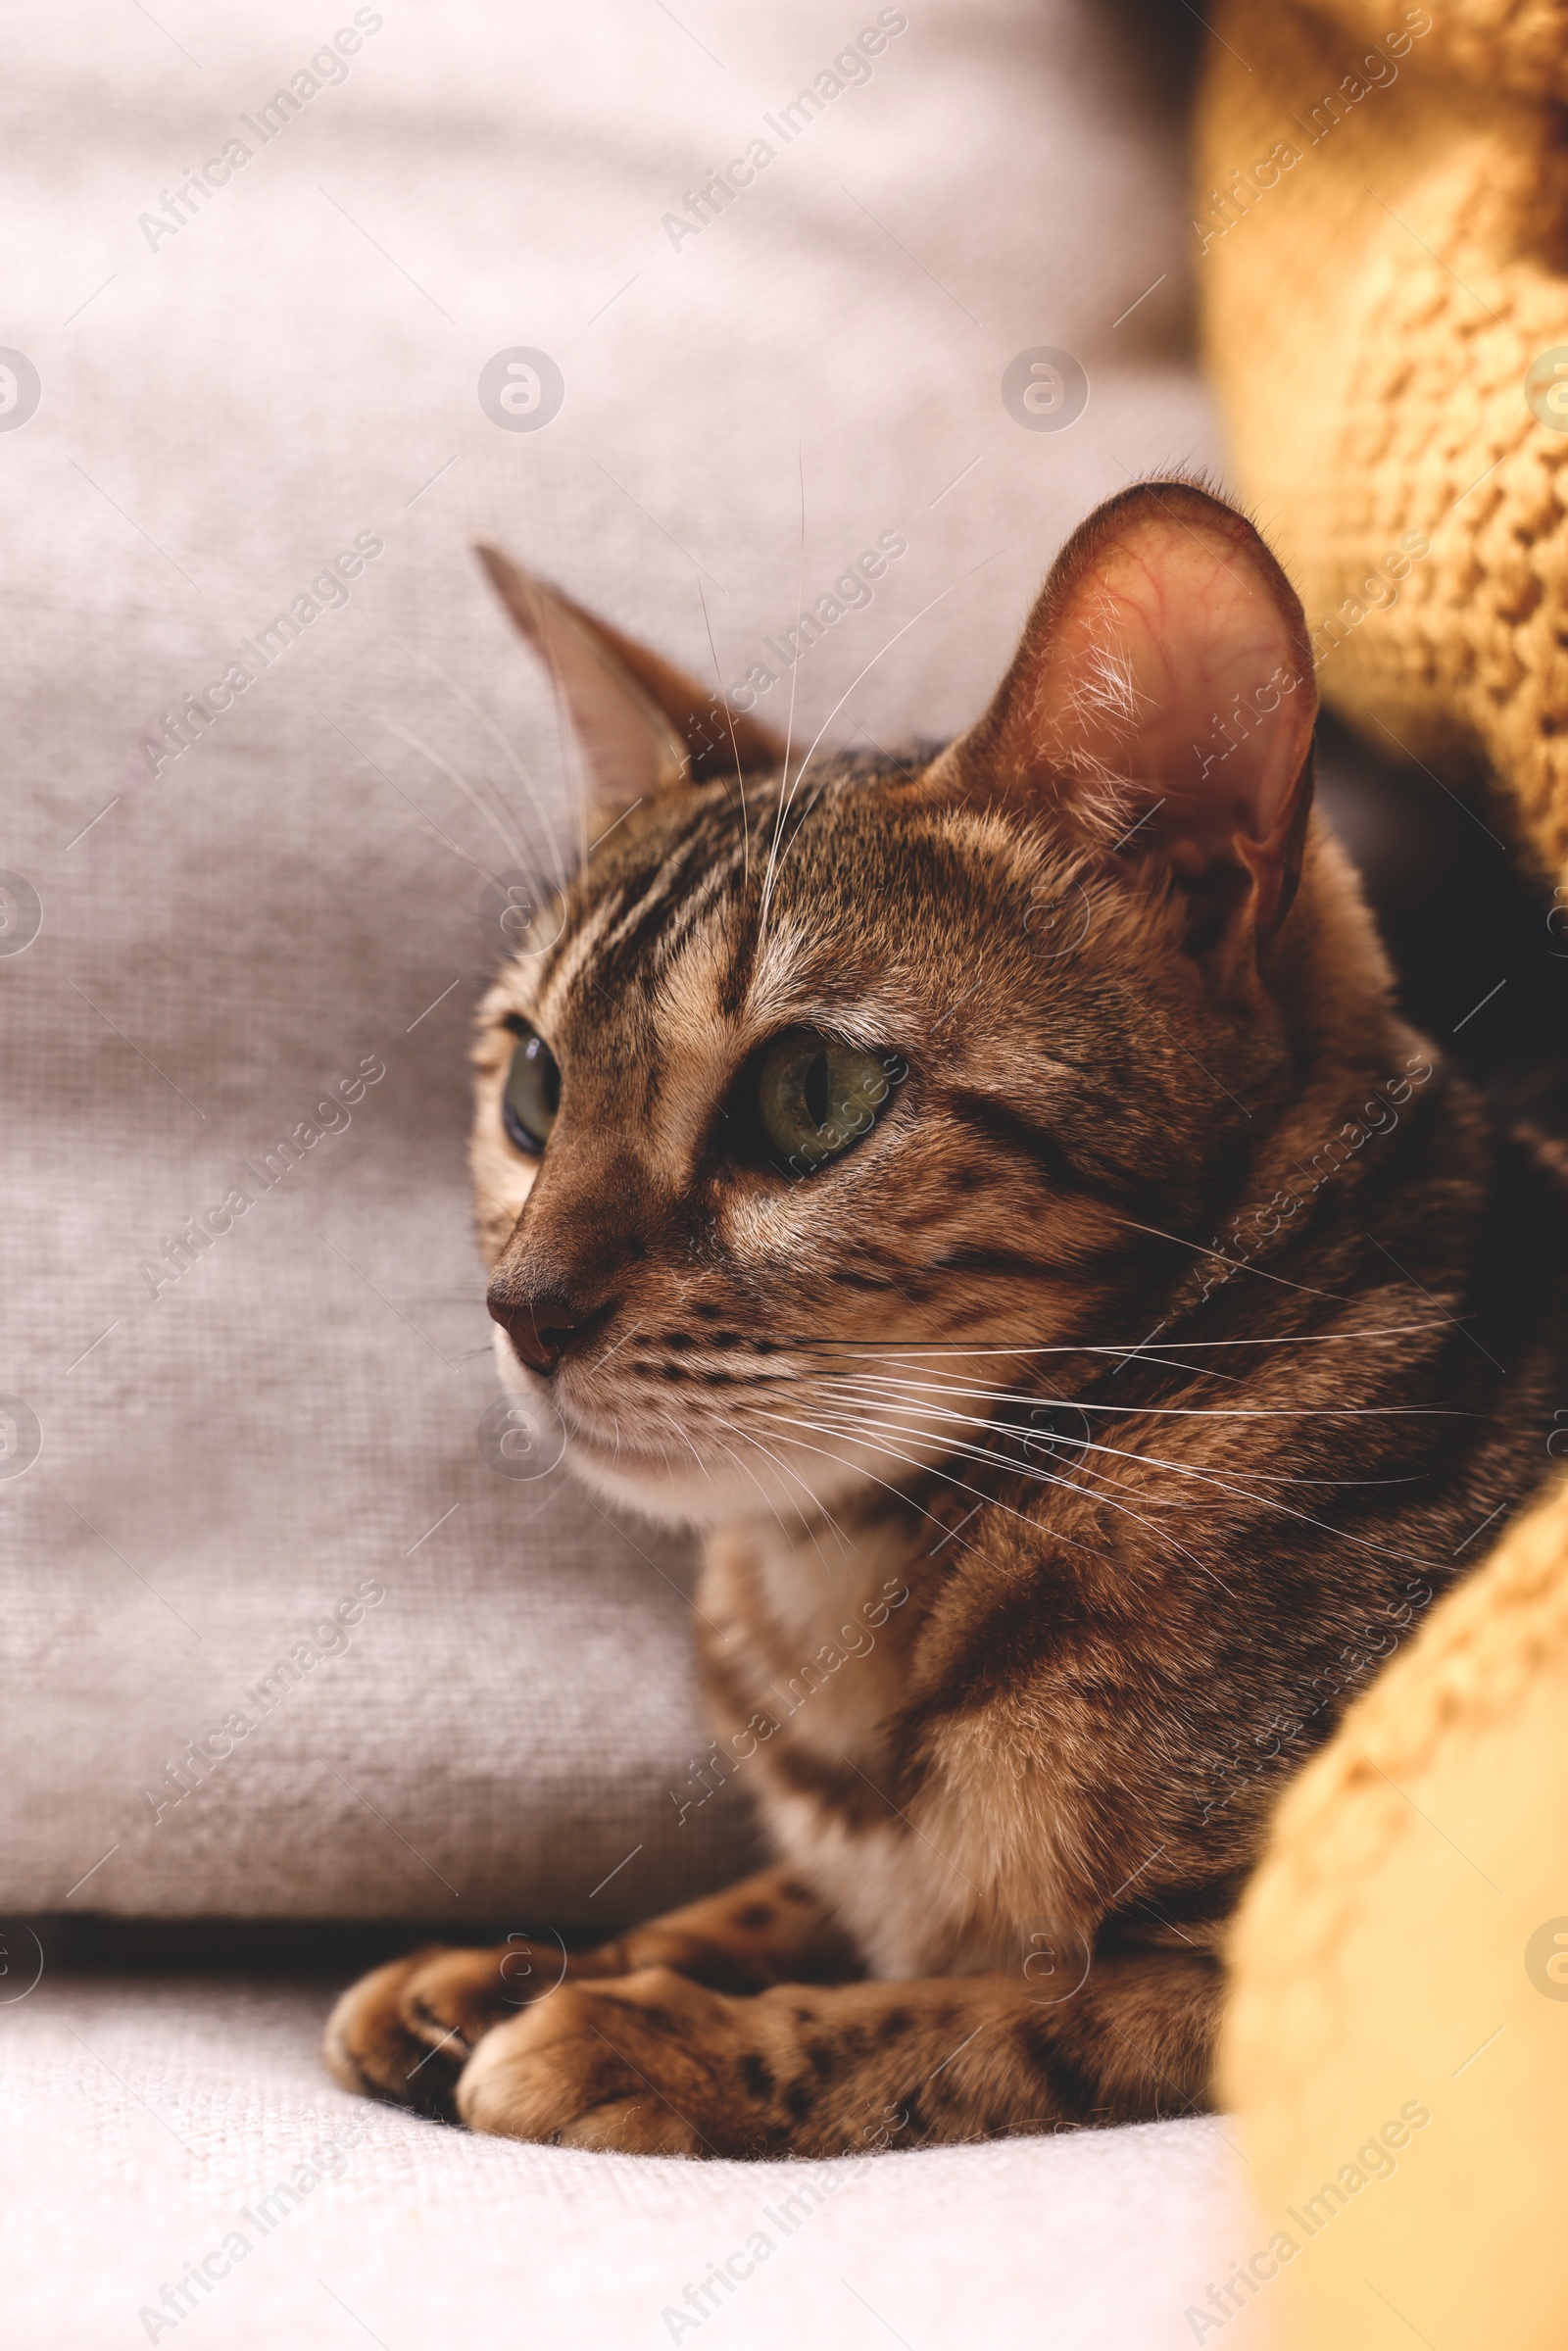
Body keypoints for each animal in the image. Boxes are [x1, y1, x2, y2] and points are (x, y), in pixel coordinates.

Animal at [324, 486, 1560, 2153]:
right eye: (533, 1084)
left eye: (812, 1094)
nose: (520, 1307)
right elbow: (780, 1896)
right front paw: (518, 1965)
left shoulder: (1253, 1973)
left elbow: (979, 2014)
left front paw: (654, 2036)